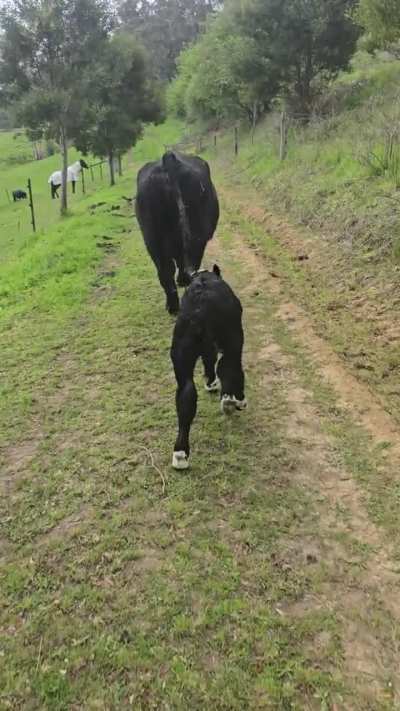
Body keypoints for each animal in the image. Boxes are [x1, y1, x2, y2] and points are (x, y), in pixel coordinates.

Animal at [170, 265, 247, 470]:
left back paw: (180, 454)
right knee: (230, 366)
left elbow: (209, 361)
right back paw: (234, 400)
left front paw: (210, 384)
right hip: (233, 338)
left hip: (182, 352)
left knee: (186, 394)